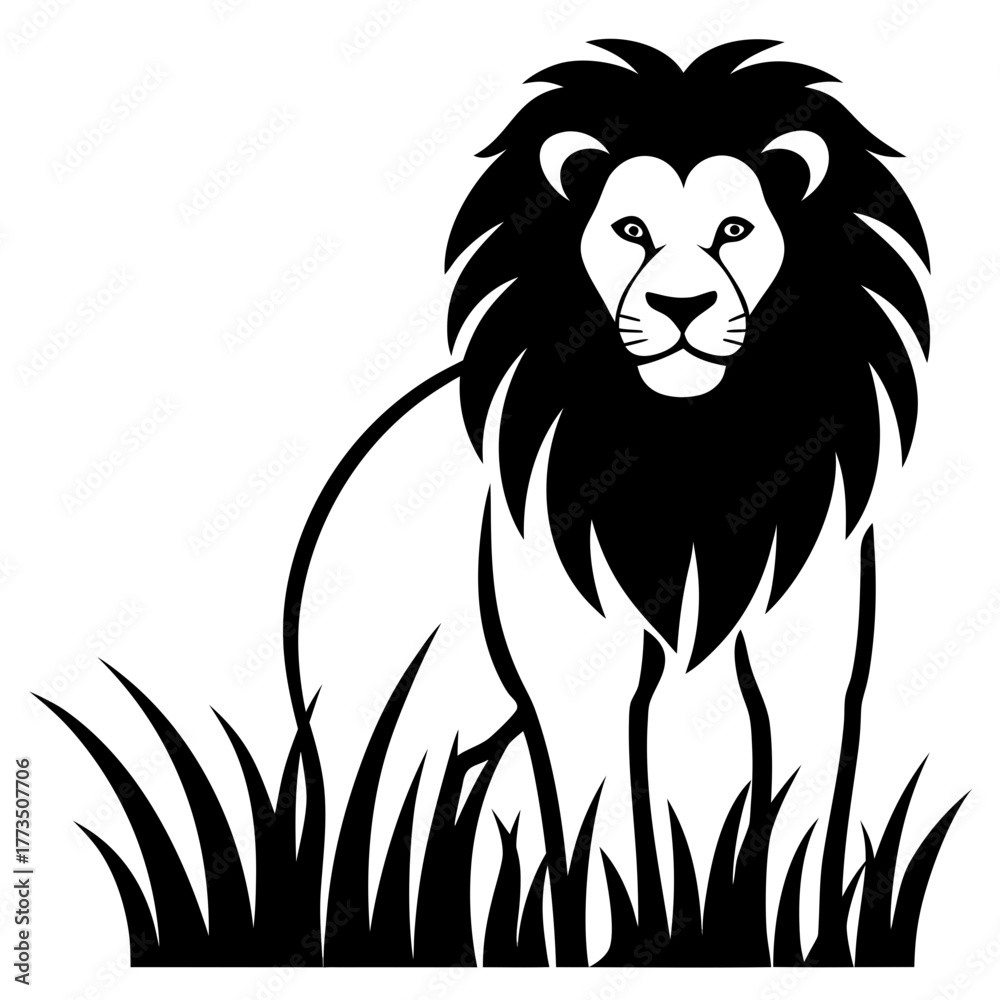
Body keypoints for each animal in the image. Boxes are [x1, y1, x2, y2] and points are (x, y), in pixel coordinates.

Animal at [291, 38, 930, 965]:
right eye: (630, 231)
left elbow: (801, 814)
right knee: (361, 819)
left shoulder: (812, 637)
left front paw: (797, 949)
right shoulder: (575, 675)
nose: (681, 306)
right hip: (367, 715)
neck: (688, 441)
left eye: (735, 230)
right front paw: (614, 950)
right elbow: (600, 828)